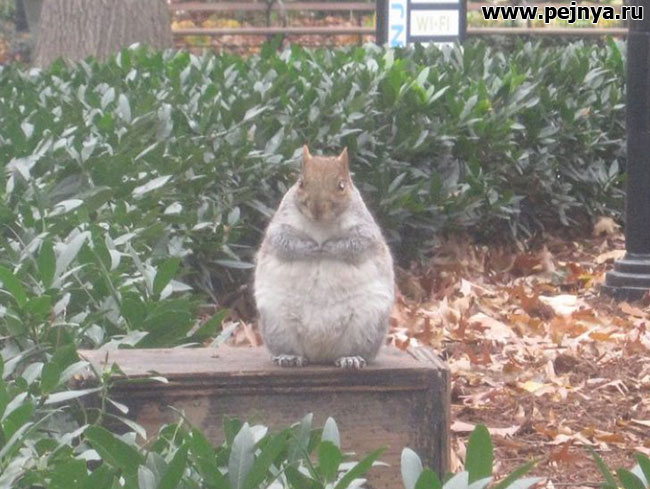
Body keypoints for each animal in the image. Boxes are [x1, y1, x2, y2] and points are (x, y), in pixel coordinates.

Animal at [254, 145, 395, 369]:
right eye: (301, 183)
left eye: (341, 185)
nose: (317, 208)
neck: (321, 225)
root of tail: (320, 355)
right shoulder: (280, 224)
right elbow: (283, 242)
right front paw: (311, 248)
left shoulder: (365, 228)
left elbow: (357, 244)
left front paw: (328, 248)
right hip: (276, 323)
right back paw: (289, 357)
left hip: (368, 325)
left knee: (356, 350)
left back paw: (351, 358)